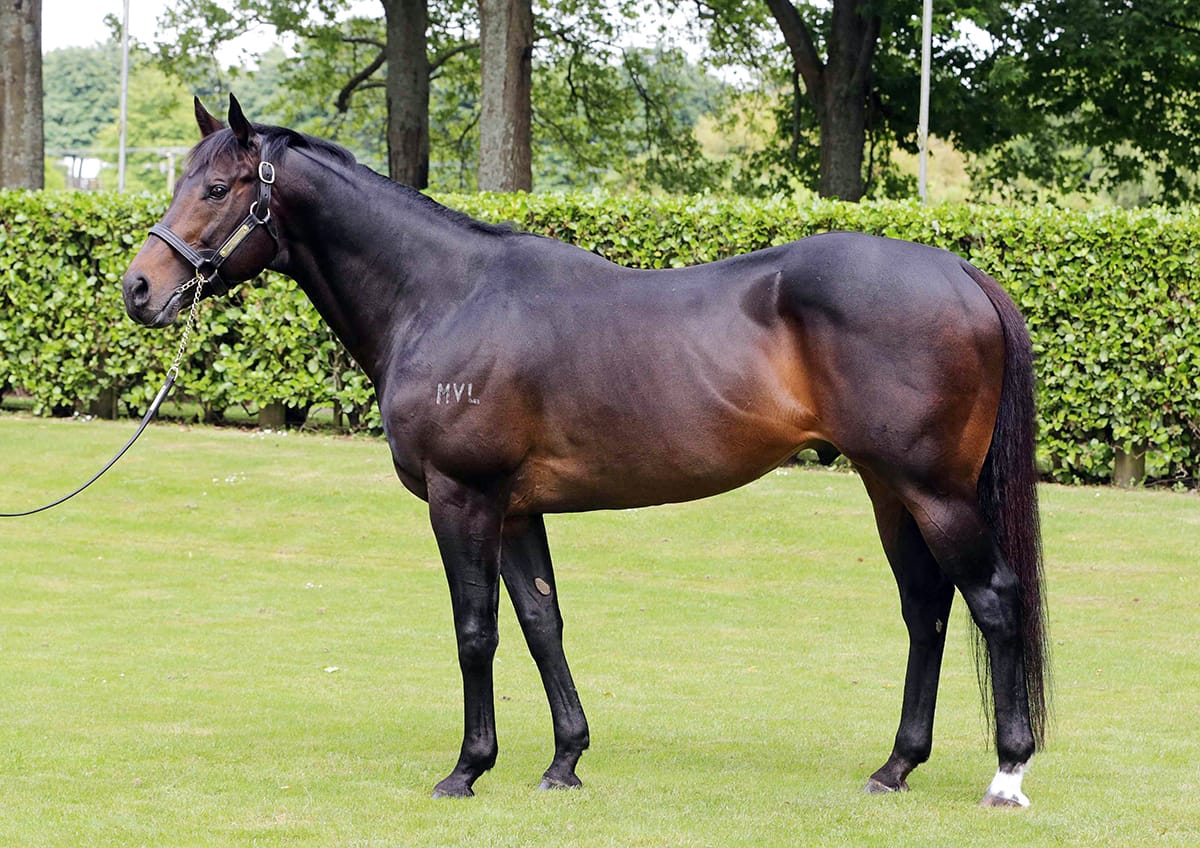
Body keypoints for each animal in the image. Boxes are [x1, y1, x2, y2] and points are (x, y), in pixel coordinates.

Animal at [122, 95, 1049, 807]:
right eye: (180, 179)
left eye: (217, 187)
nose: (139, 289)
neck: (445, 296)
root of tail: (960, 273)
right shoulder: (516, 507)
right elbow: (542, 622)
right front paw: (565, 760)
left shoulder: (465, 496)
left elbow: (476, 630)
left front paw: (467, 769)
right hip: (889, 490)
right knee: (927, 608)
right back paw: (895, 766)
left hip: (932, 490)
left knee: (994, 600)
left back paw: (1007, 774)